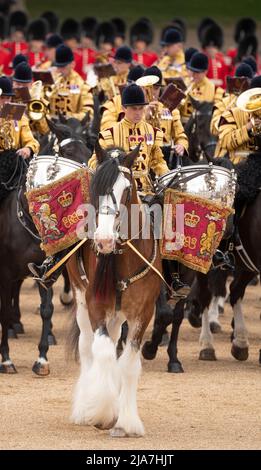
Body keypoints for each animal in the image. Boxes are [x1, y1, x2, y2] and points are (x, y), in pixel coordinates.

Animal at [0, 120, 91, 374]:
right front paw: (6, 359)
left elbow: (47, 310)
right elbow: (3, 311)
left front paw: (42, 358)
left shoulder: (47, 272)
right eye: (68, 152)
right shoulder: (5, 273)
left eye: (88, 151)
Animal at [66, 144, 161, 436]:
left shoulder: (144, 311)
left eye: (127, 189)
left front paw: (127, 421)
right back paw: (84, 405)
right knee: (88, 347)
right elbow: (104, 351)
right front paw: (101, 409)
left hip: (118, 314)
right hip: (80, 297)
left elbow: (128, 363)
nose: (105, 240)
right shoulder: (95, 304)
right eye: (95, 186)